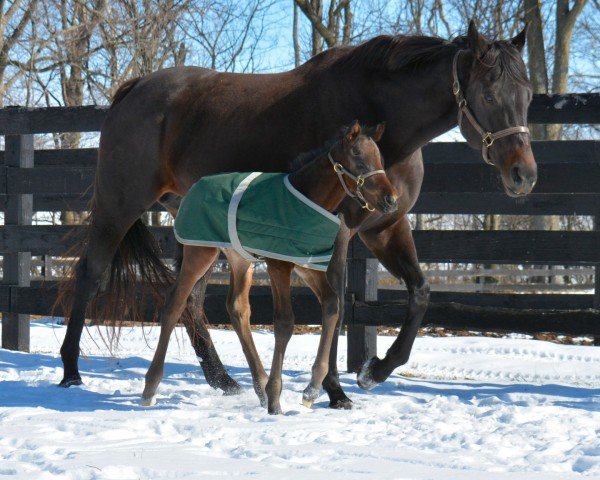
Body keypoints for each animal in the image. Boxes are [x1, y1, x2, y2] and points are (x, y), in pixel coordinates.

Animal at [138, 123, 396, 412]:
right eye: (358, 157)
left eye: (381, 160)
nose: (391, 200)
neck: (308, 200)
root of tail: (188, 193)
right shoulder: (279, 265)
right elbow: (284, 322)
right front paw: (275, 399)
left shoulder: (310, 267)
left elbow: (332, 307)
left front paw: (310, 391)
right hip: (200, 252)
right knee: (175, 302)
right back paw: (150, 387)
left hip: (240, 258)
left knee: (237, 308)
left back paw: (259, 386)